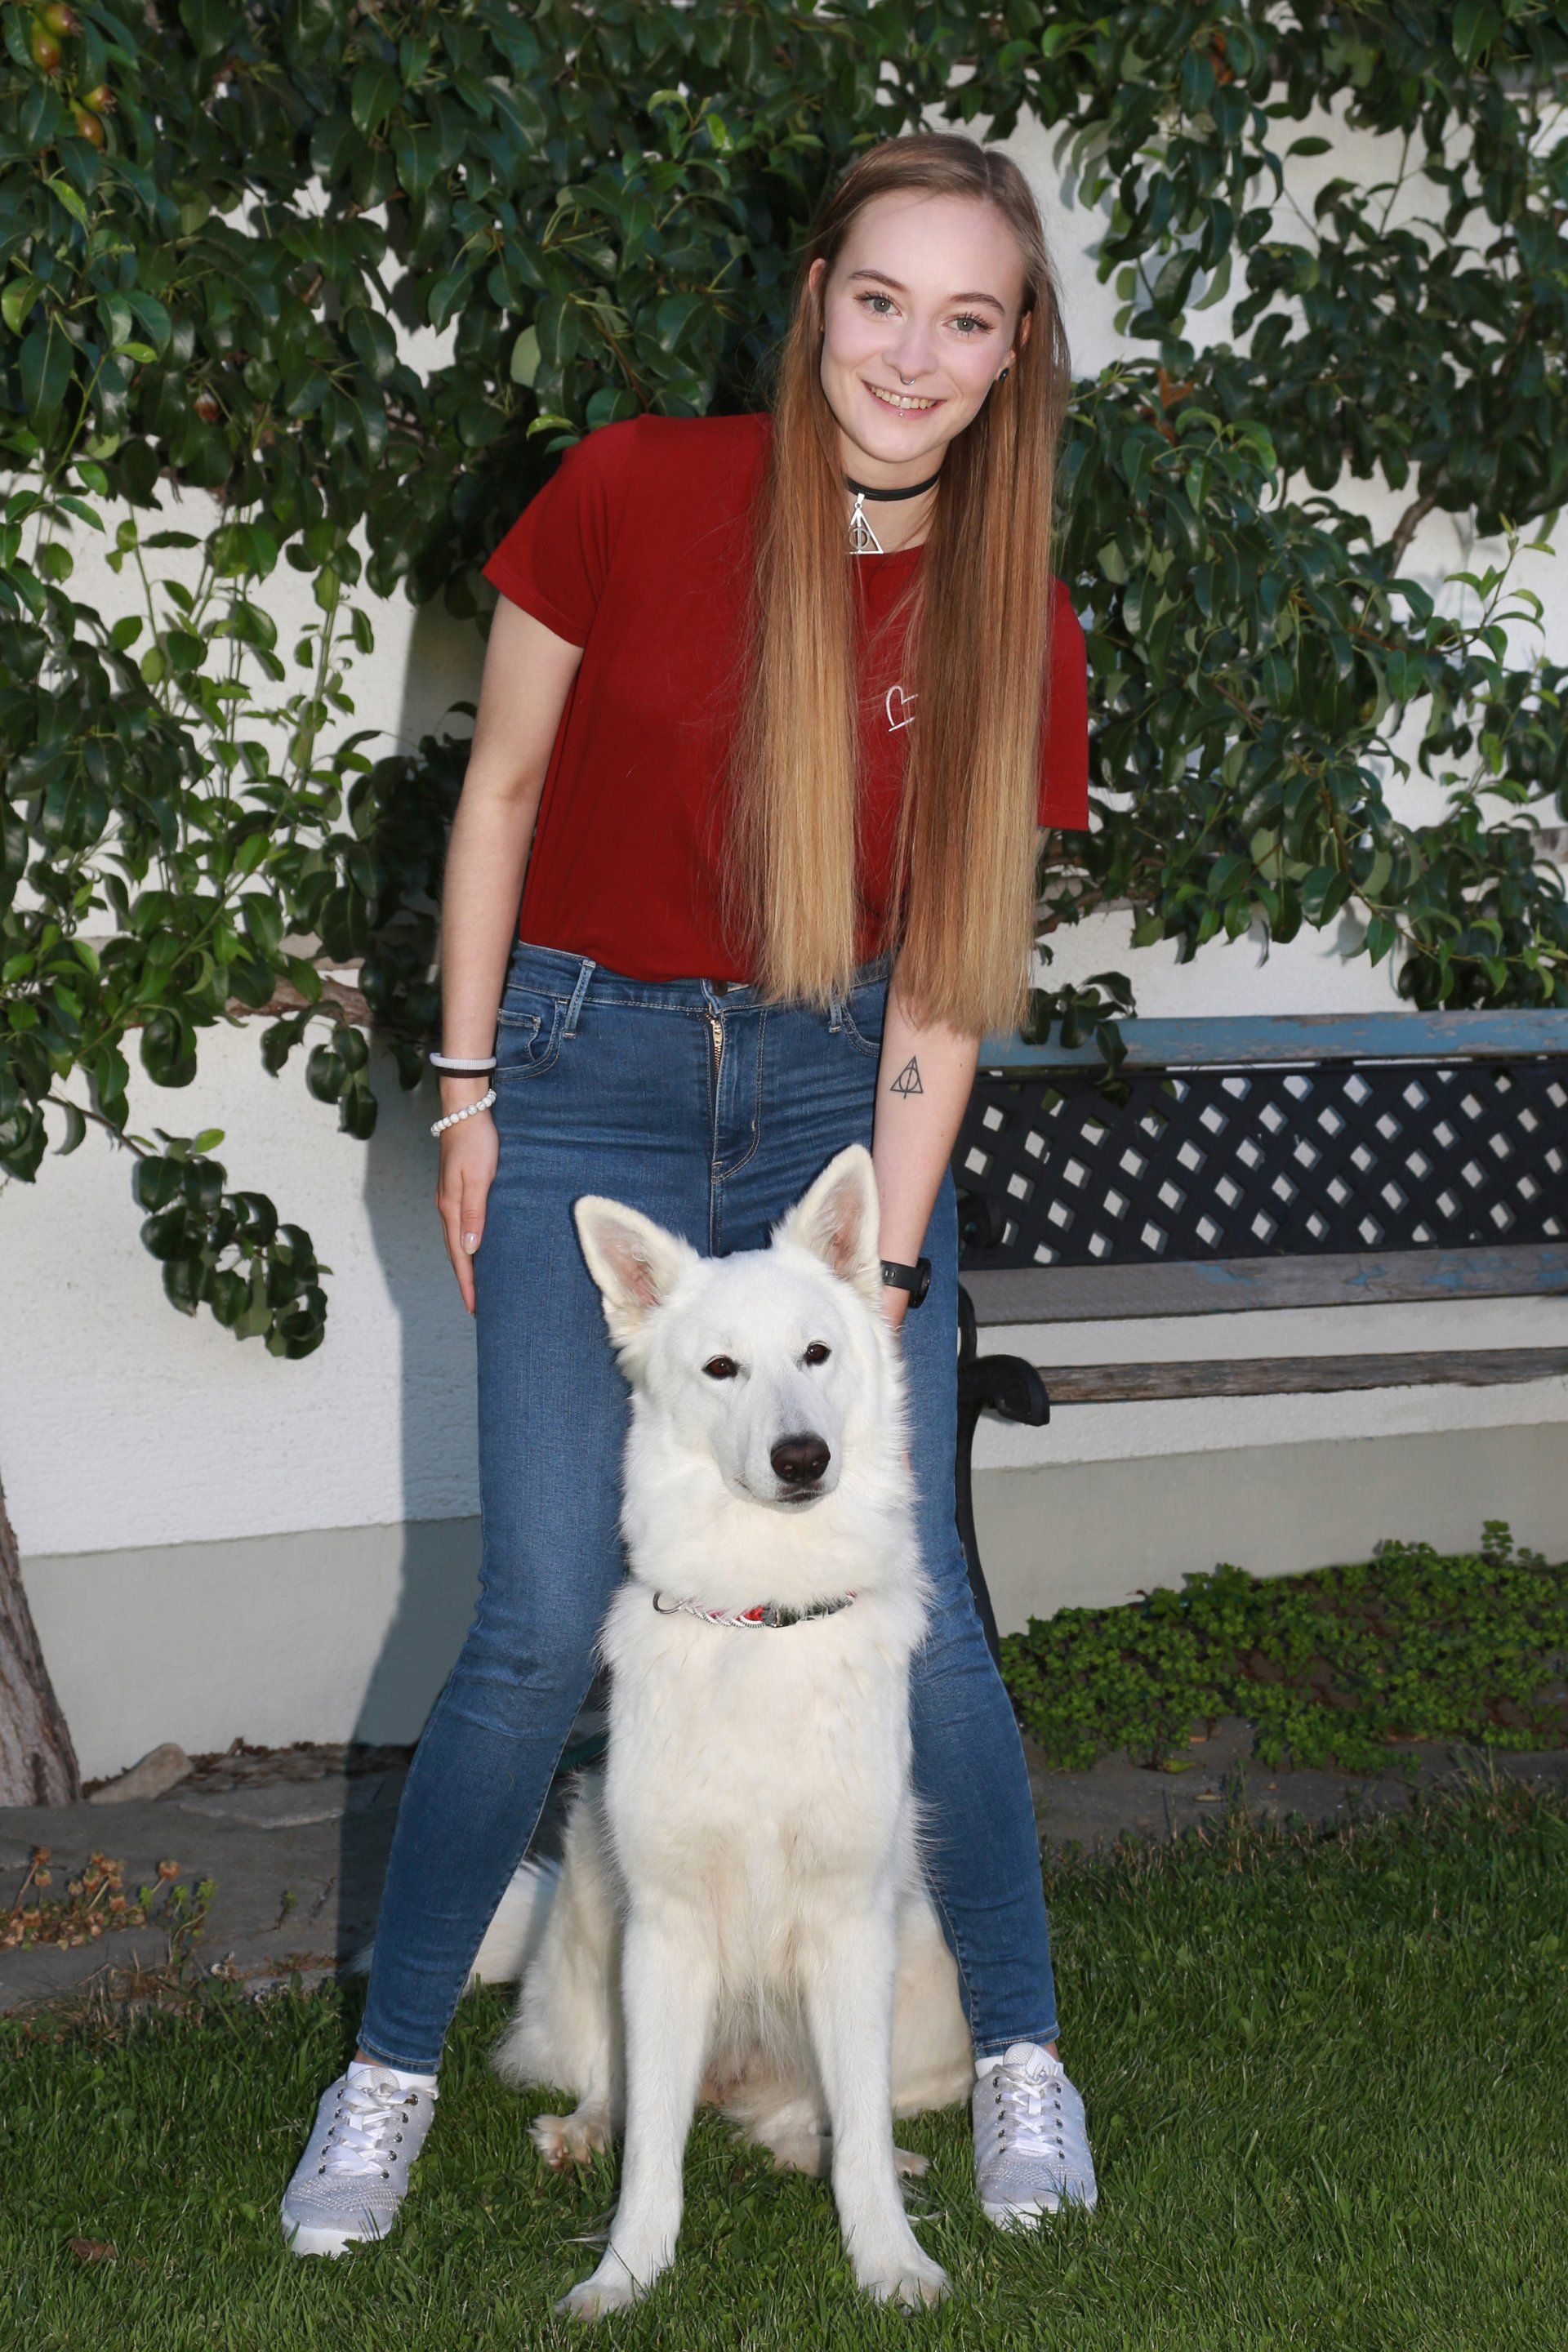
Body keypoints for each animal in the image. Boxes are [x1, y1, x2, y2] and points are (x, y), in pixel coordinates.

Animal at [472, 1143, 974, 2316]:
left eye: (817, 1353)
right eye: (720, 1370)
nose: (801, 1457)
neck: (763, 1615)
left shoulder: (849, 1929)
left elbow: (860, 2143)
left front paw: (890, 2262)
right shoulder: (664, 1935)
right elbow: (653, 2149)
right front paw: (625, 2275)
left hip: (926, 1982)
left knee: (810, 2126)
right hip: (592, 1917)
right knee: (609, 2087)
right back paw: (581, 2131)